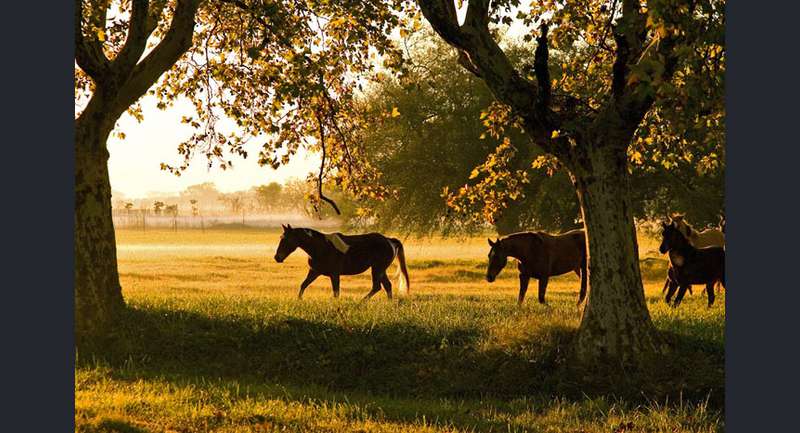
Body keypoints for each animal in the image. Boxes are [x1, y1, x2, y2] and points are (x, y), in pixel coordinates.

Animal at [276, 223, 412, 300]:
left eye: (286, 239)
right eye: (281, 238)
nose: (277, 257)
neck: (321, 247)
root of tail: (389, 240)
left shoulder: (334, 274)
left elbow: (336, 292)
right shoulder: (314, 271)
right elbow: (303, 285)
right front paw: (298, 300)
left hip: (377, 269)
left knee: (377, 286)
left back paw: (361, 303)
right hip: (380, 269)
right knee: (387, 286)